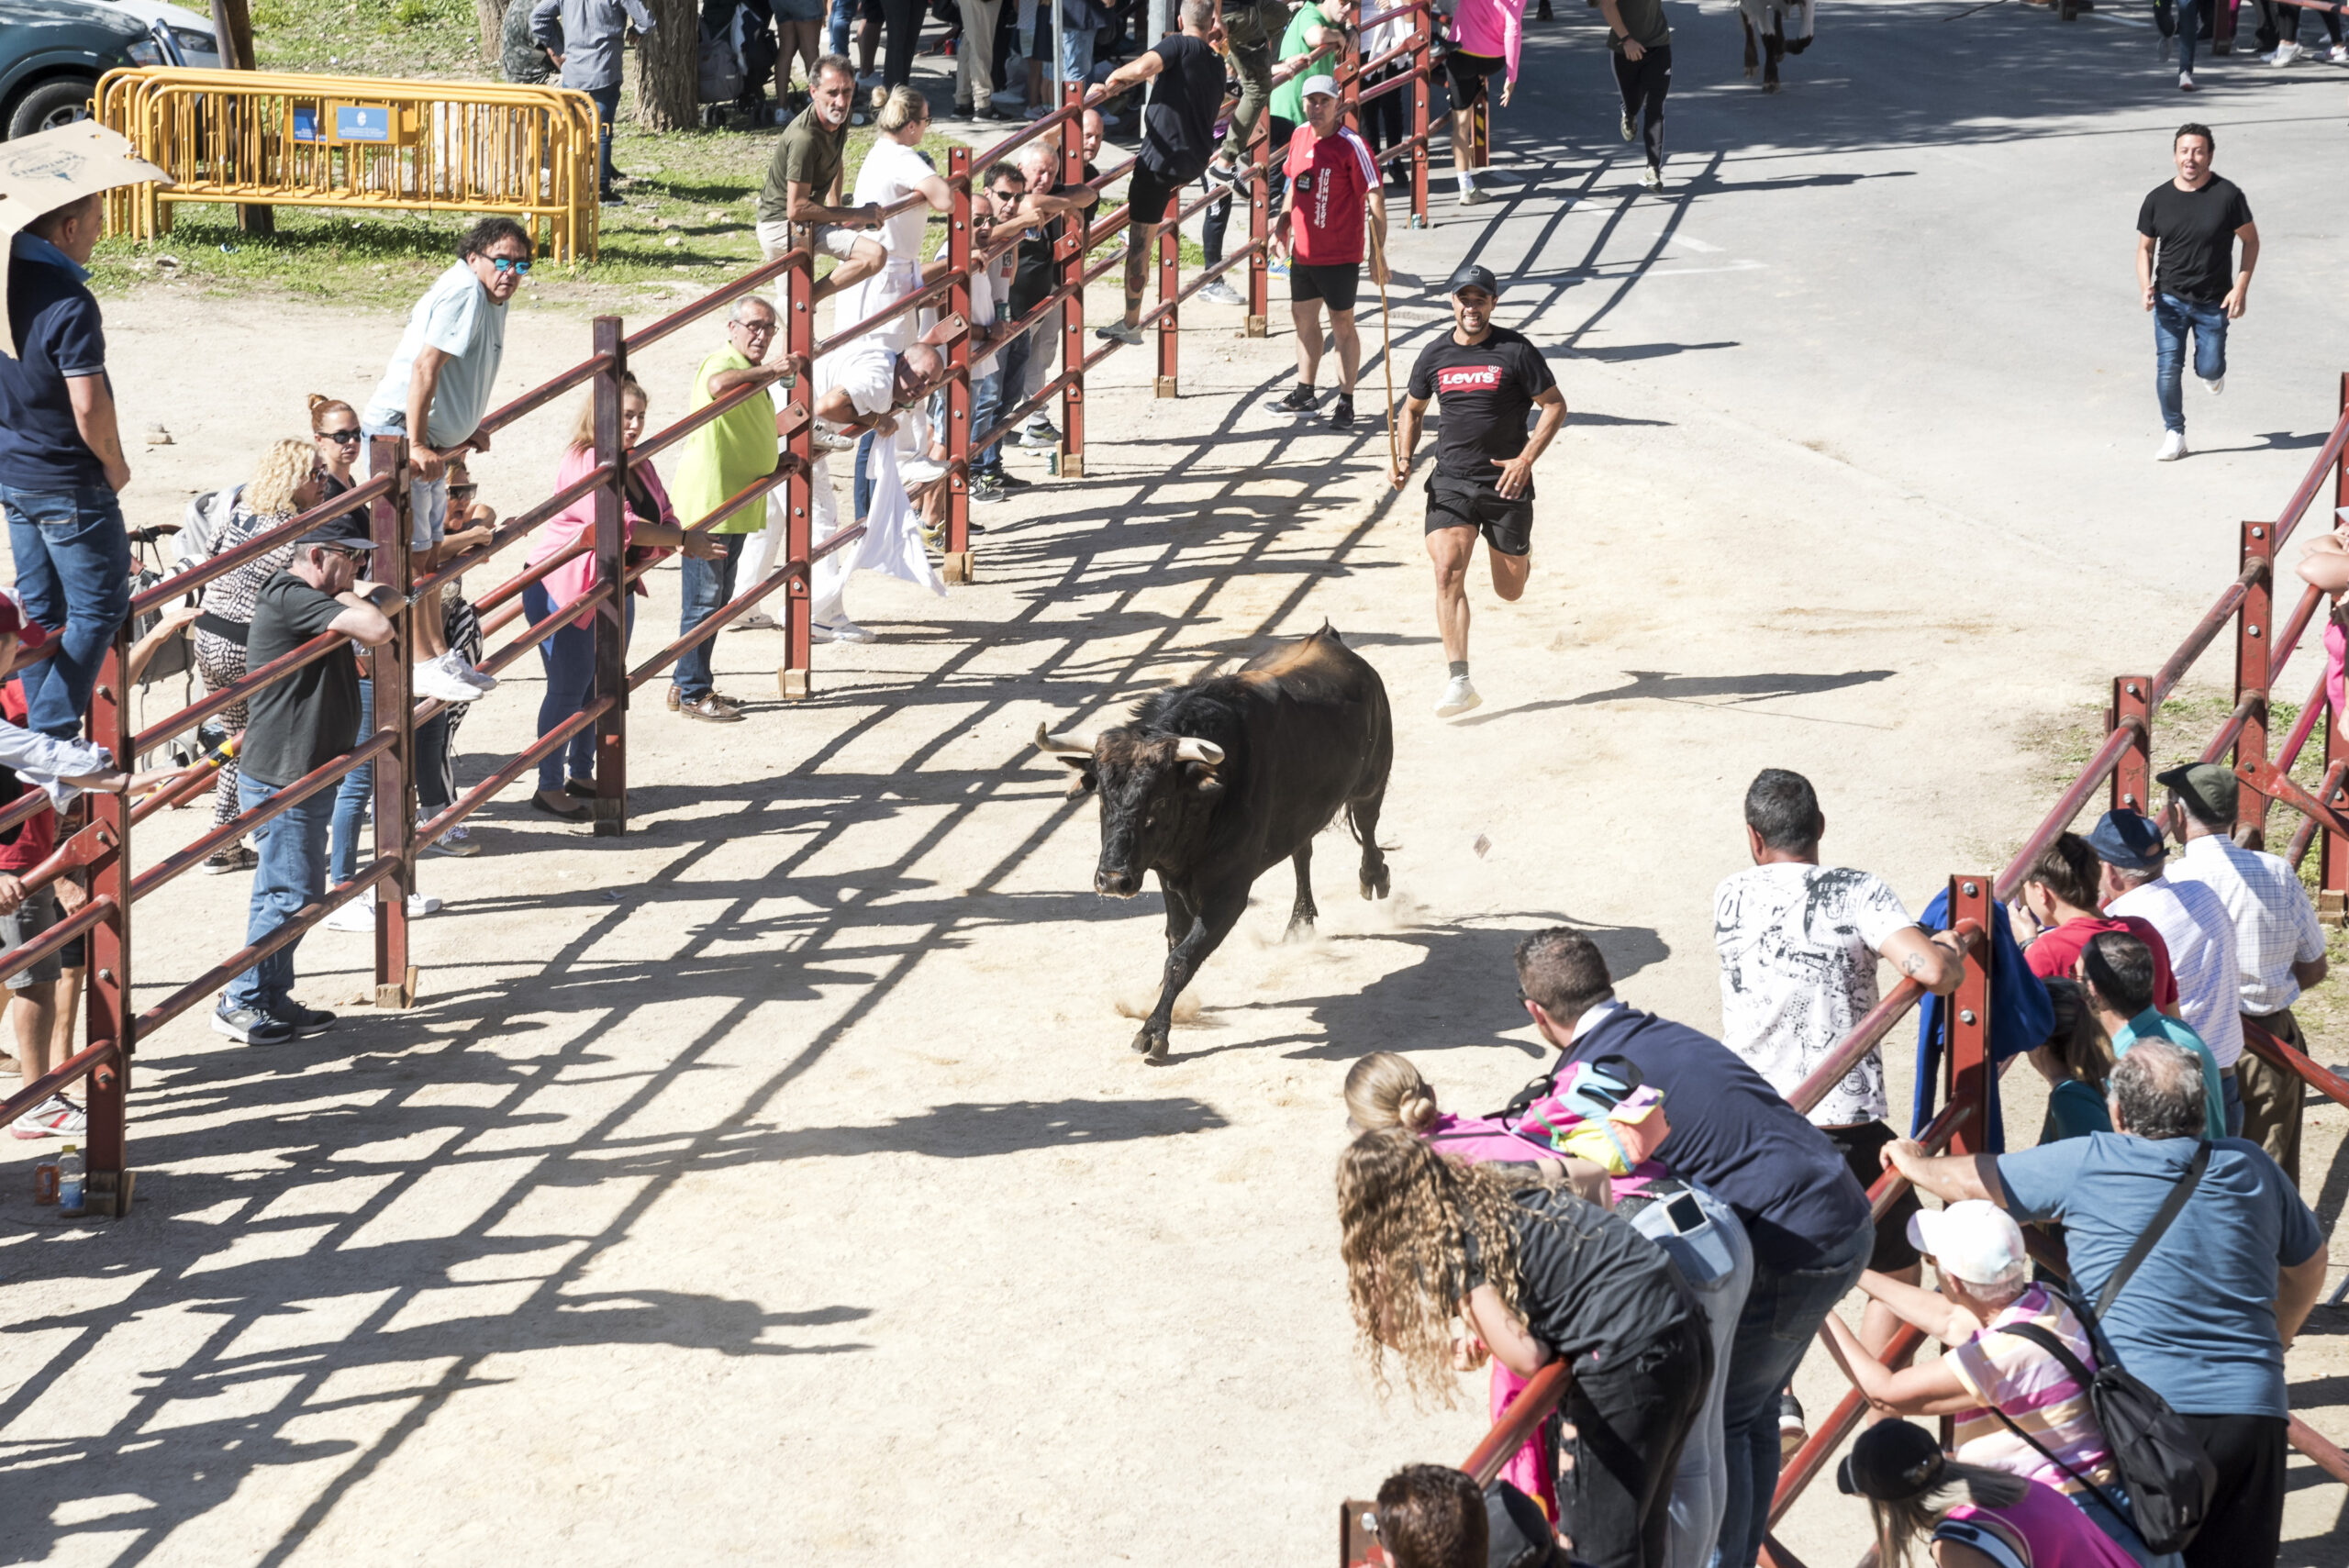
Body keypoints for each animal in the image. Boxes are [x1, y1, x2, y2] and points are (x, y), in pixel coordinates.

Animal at [1038, 624, 1381, 1065]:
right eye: (1102, 797)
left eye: (1159, 799)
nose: (1113, 881)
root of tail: (1328, 637)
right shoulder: (1168, 879)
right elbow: (1175, 940)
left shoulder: (1228, 894)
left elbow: (1182, 956)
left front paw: (1153, 1032)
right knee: (1301, 851)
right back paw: (1299, 923)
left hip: (1374, 774)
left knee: (1368, 824)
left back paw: (1374, 877)